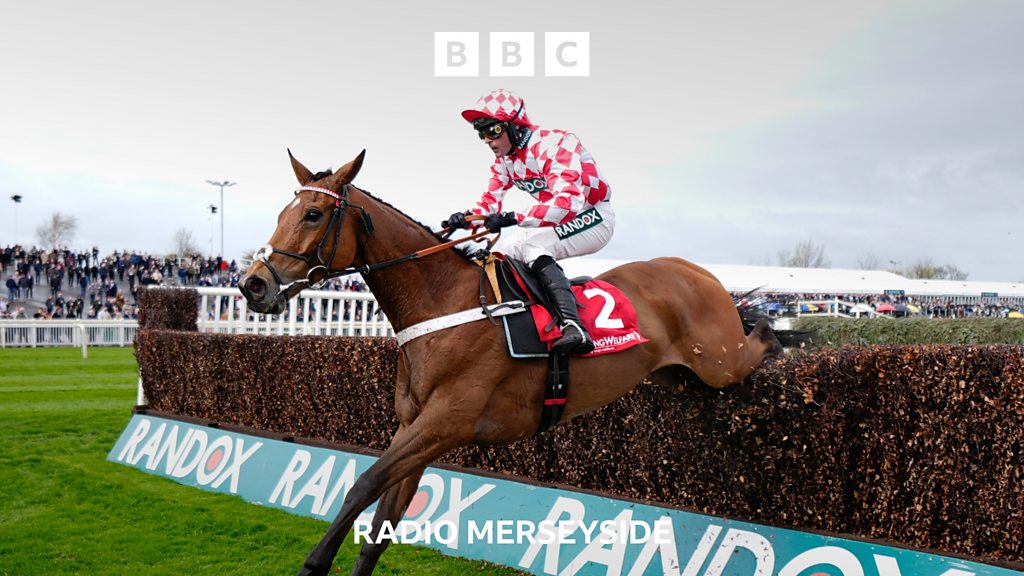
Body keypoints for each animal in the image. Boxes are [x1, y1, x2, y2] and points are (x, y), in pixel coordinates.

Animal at [239, 150, 799, 576]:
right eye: (284, 212)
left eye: (313, 215)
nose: (254, 284)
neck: (442, 303)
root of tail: (696, 270)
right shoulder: (415, 427)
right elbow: (384, 520)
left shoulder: (447, 422)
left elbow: (362, 485)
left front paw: (314, 563)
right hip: (679, 379)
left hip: (720, 361)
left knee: (760, 339)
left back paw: (785, 346)